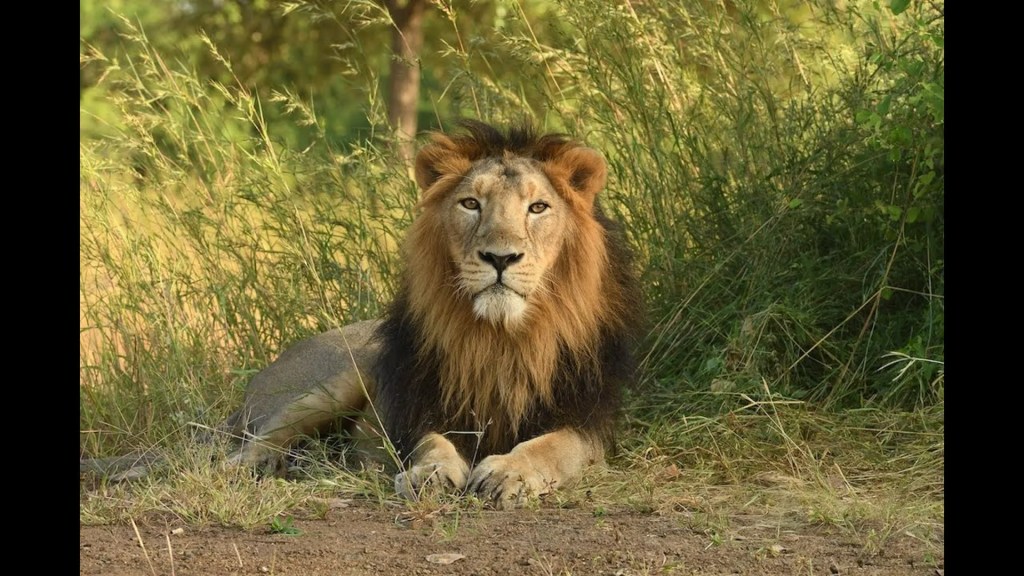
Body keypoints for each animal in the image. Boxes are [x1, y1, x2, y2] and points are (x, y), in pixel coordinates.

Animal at [223, 120, 643, 509]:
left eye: (538, 207)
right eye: (471, 204)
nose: (500, 258)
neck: (501, 337)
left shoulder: (588, 423)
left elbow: (552, 447)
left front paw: (509, 473)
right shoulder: (422, 406)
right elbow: (431, 443)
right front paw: (431, 473)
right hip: (337, 381)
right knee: (263, 437)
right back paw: (249, 466)